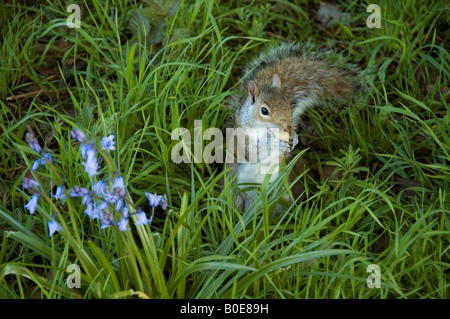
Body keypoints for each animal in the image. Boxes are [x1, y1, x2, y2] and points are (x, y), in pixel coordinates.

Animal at [229, 42, 362, 212]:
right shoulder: (242, 137)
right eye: (264, 111)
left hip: (281, 193)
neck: (266, 129)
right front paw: (273, 143)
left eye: (288, 104)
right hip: (236, 193)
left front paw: (294, 137)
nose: (288, 128)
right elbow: (252, 152)